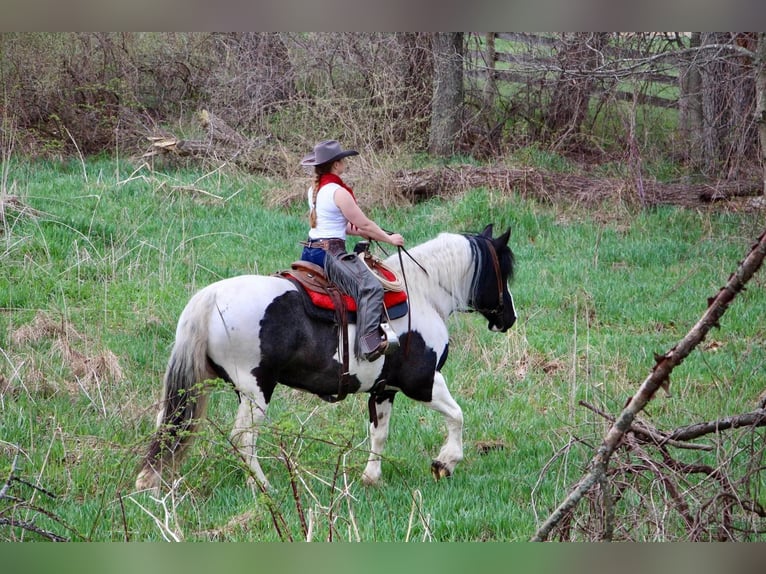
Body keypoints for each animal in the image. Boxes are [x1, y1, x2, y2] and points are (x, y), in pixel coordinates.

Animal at [136, 223, 520, 492]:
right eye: (503, 271)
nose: (509, 317)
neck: (422, 294)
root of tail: (210, 297)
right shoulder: (423, 382)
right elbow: (457, 416)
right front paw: (446, 462)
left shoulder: (384, 389)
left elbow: (379, 433)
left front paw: (371, 478)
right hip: (256, 390)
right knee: (242, 438)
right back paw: (263, 485)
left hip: (199, 388)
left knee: (169, 426)